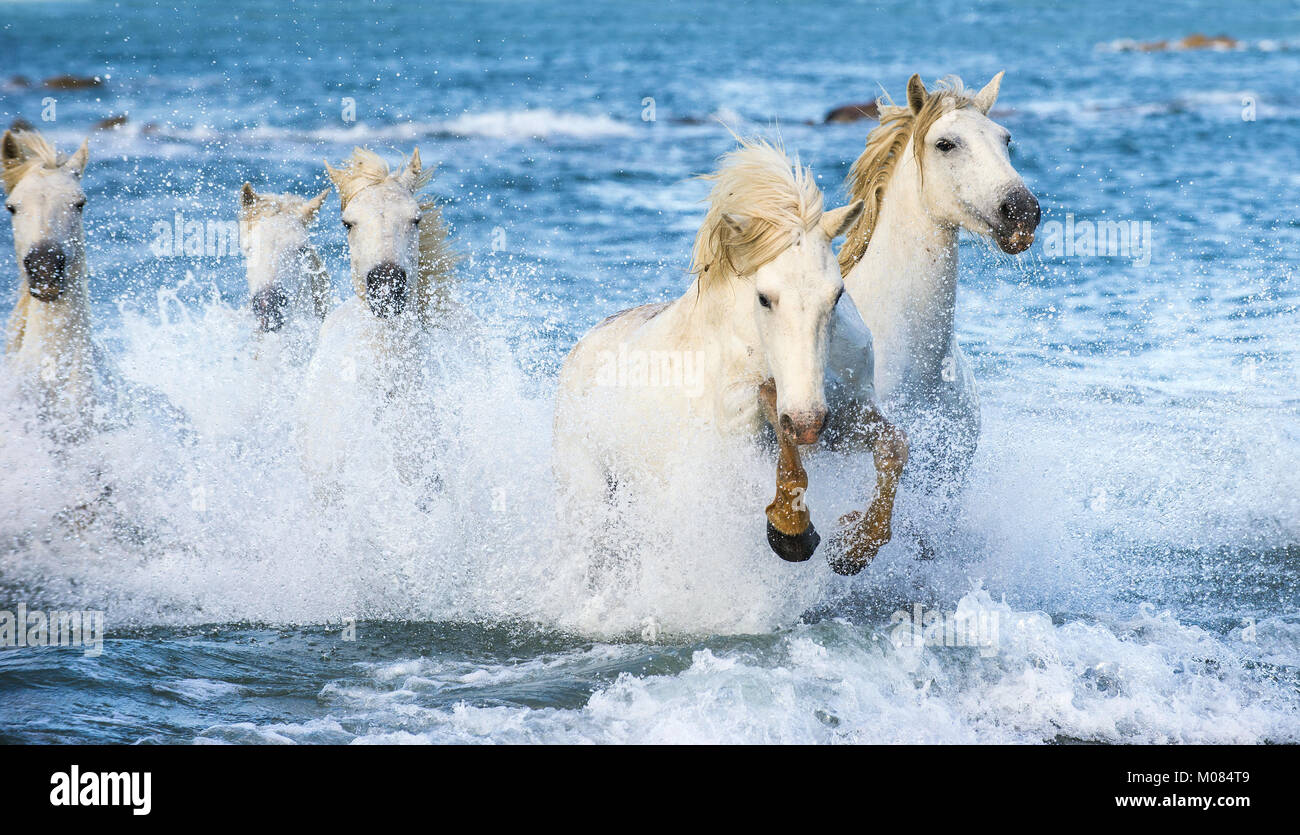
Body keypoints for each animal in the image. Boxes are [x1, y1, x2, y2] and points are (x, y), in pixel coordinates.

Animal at [553, 137, 907, 579]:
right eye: (764, 297)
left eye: (837, 294)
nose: (807, 423)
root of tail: (579, 351)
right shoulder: (742, 430)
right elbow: (780, 437)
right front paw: (790, 531)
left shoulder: (847, 419)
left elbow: (893, 447)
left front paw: (856, 545)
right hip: (592, 495)